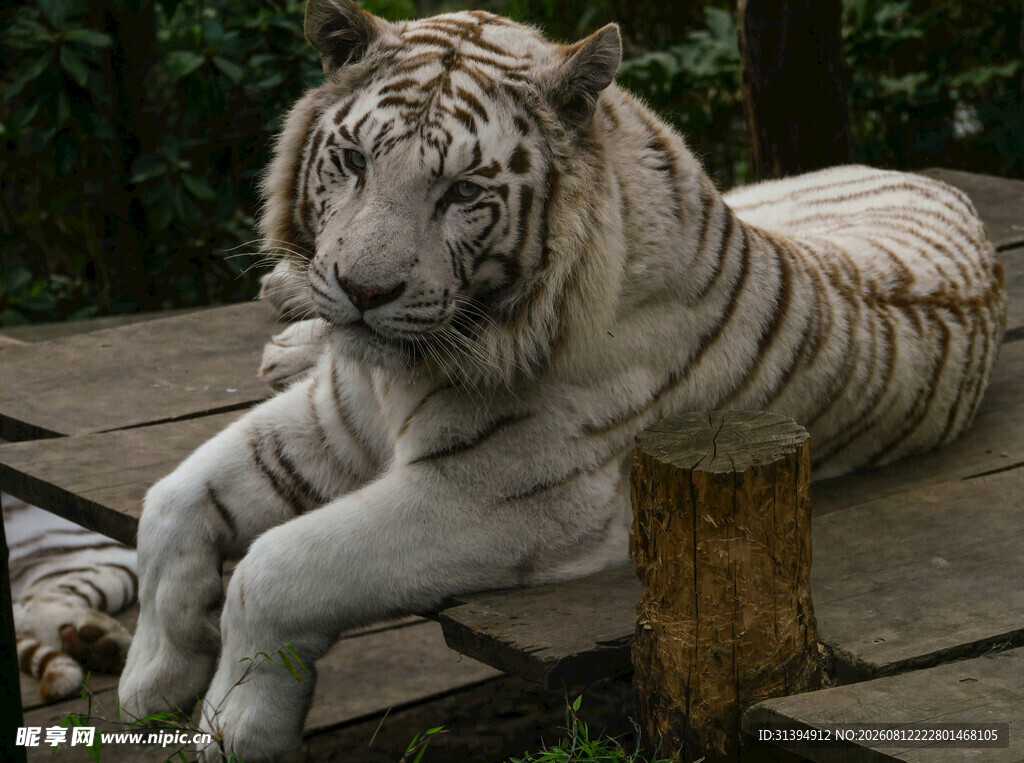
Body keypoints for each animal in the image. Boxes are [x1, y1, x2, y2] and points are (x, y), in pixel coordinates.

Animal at [117, 1, 1007, 759]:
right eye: (355, 161)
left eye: (462, 192)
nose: (363, 291)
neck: (397, 374)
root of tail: (928, 176)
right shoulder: (334, 418)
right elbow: (169, 501)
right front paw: (153, 679)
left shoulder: (503, 495)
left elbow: (276, 564)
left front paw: (234, 721)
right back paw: (285, 314)